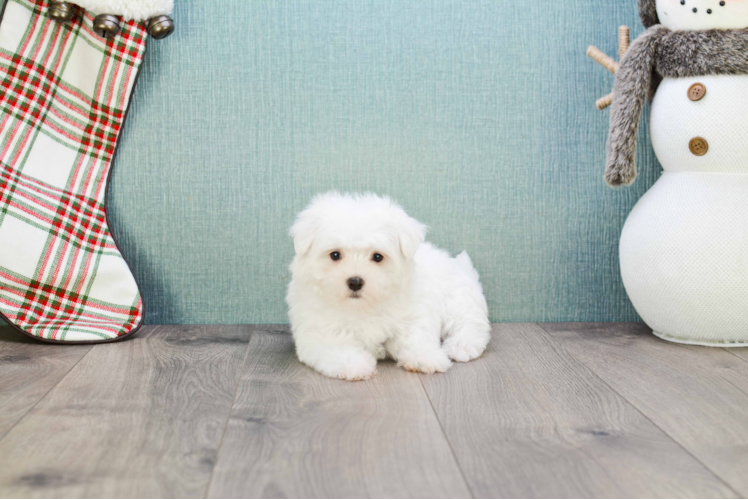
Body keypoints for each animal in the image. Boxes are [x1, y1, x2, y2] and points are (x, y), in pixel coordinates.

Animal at [286, 193, 490, 380]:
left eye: (377, 257)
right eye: (335, 255)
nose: (355, 281)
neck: (360, 306)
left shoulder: (412, 314)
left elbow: (415, 337)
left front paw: (426, 357)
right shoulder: (318, 328)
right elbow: (337, 345)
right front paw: (353, 364)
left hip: (458, 298)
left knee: (470, 323)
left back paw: (461, 346)